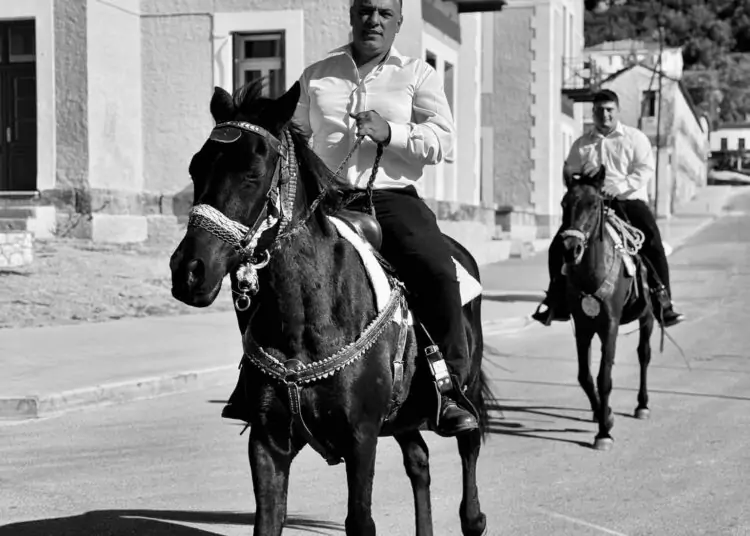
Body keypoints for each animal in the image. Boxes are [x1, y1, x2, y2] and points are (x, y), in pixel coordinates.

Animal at [169, 79, 494, 536]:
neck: (306, 316)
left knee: (469, 449)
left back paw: (472, 506)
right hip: (402, 416)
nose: (189, 271)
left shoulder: (361, 437)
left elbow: (360, 521)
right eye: (196, 168)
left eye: (253, 173)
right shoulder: (268, 442)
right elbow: (268, 521)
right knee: (419, 462)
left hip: (463, 387)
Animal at [560, 169, 654, 451]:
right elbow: (585, 376)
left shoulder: (609, 326)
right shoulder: (583, 327)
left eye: (594, 204)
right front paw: (605, 415)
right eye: (564, 204)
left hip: (647, 317)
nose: (570, 249)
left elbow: (604, 378)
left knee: (644, 354)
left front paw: (604, 432)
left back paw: (642, 404)